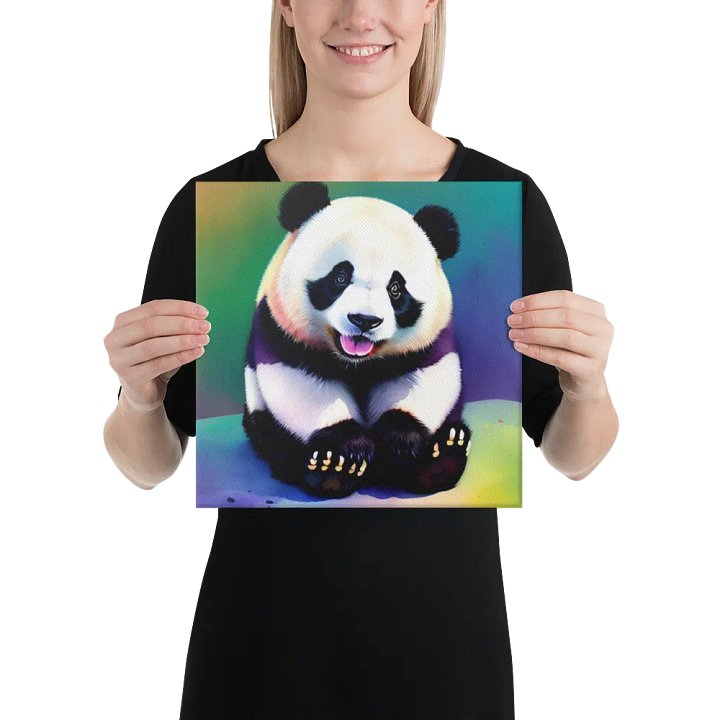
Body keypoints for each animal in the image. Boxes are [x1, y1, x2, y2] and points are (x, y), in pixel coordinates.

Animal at [242, 181, 472, 499]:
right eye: (340, 276)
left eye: (396, 288)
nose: (364, 320)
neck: (357, 363)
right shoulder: (279, 329)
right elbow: (300, 381)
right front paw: (349, 450)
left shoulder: (431, 340)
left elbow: (426, 375)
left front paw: (401, 440)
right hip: (261, 418)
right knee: (279, 445)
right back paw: (332, 472)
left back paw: (444, 455)